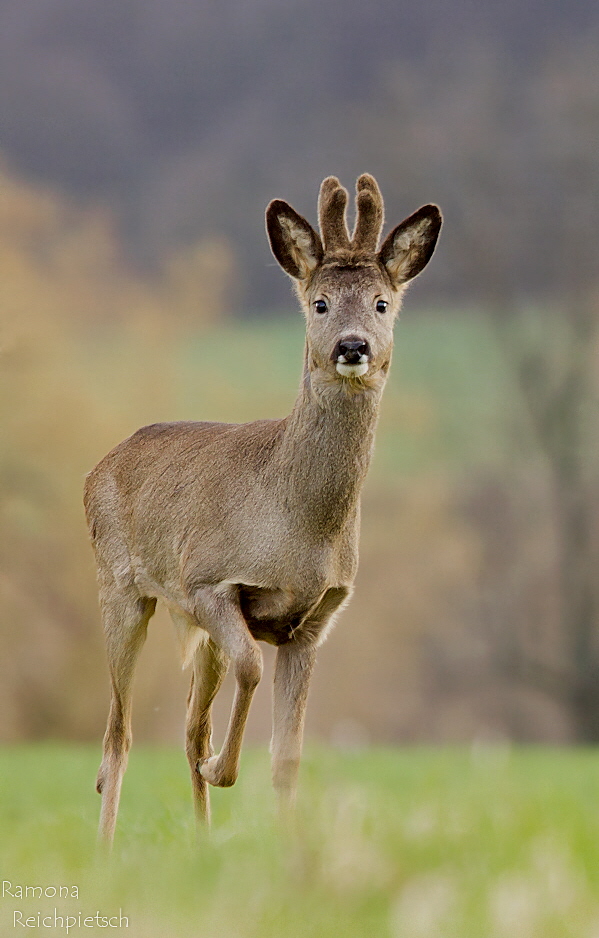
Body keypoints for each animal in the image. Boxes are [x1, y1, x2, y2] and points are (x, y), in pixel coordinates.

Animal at [83, 176, 440, 840]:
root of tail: (99, 466)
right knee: (118, 735)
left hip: (187, 628)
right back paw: (106, 850)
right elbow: (249, 666)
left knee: (186, 725)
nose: (353, 346)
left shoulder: (314, 621)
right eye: (320, 303)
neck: (298, 527)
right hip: (121, 591)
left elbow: (287, 757)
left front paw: (288, 849)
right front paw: (223, 768)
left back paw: (201, 841)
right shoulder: (208, 582)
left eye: (381, 303)